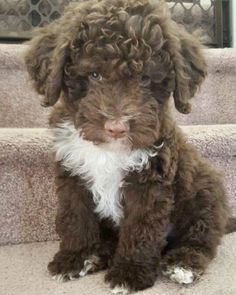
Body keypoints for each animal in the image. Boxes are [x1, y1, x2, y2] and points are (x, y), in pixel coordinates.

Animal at [24, 0, 230, 294]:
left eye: (144, 79)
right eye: (94, 75)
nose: (117, 127)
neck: (108, 151)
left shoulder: (150, 182)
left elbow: (140, 227)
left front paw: (130, 271)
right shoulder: (72, 175)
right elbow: (74, 218)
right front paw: (75, 258)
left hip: (205, 195)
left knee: (201, 239)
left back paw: (183, 264)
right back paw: (98, 254)